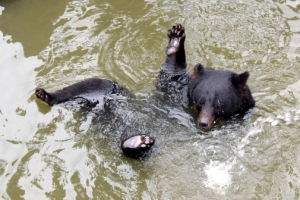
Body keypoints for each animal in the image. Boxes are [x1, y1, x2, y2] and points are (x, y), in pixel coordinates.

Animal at [35, 23, 255, 158]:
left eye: (219, 105)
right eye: (200, 101)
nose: (203, 123)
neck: (187, 109)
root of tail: (93, 107)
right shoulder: (176, 90)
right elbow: (169, 75)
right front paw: (176, 38)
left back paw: (137, 142)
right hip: (108, 90)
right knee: (89, 84)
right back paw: (45, 95)